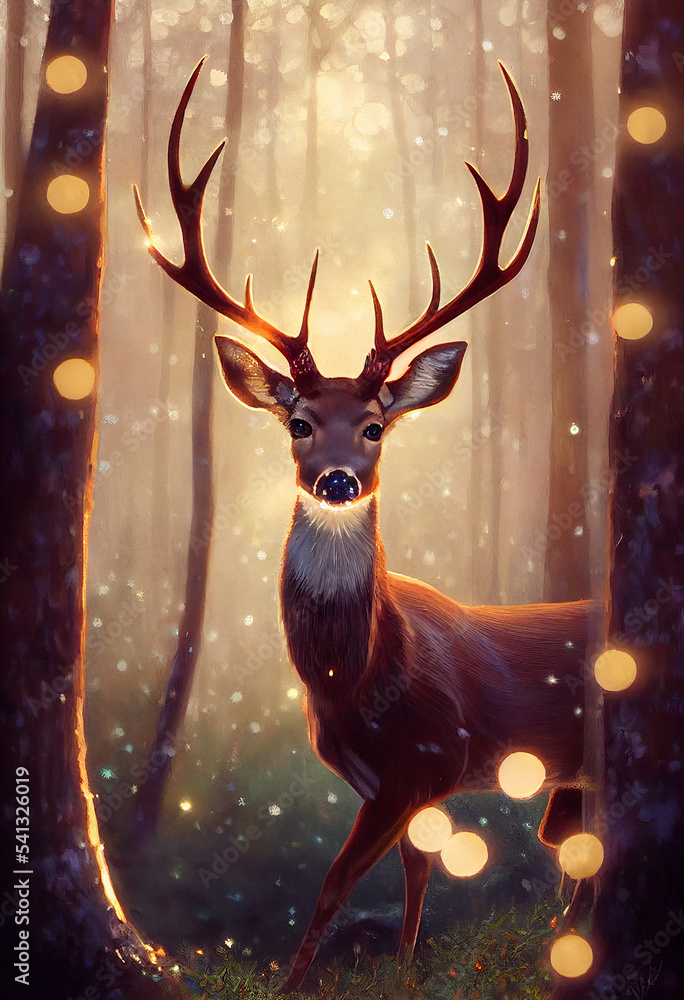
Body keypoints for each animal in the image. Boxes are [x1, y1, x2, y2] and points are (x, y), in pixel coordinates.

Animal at [134, 60, 593, 993]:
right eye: (299, 421)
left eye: (377, 424)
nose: (338, 477)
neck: (355, 678)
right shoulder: (384, 781)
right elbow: (414, 871)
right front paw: (407, 968)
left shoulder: (432, 758)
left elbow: (336, 880)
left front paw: (290, 981)